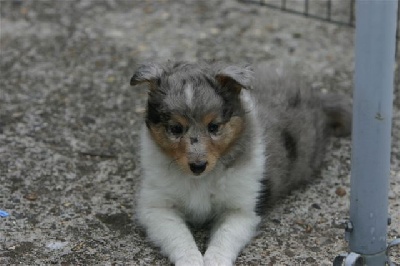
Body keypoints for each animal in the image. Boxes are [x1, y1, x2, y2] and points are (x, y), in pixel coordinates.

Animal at [130, 61, 350, 264]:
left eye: (214, 126)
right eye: (175, 128)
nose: (198, 166)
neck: (201, 179)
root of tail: (317, 98)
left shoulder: (241, 210)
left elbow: (225, 237)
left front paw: (214, 261)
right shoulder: (157, 208)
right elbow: (179, 236)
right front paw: (191, 260)